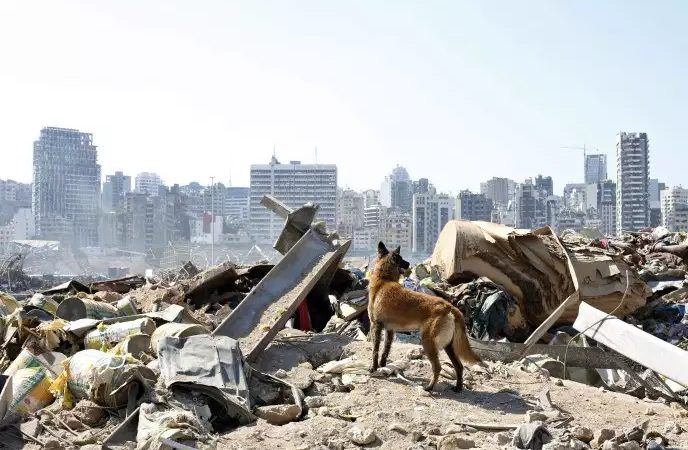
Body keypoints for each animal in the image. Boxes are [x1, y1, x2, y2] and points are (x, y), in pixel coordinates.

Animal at [368, 241, 482, 392]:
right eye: (402, 259)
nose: (409, 263)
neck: (384, 280)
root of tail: (449, 307)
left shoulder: (376, 326)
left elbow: (375, 350)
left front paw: (373, 368)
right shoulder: (390, 330)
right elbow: (386, 350)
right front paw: (382, 365)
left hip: (428, 342)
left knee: (438, 367)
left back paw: (429, 387)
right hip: (448, 346)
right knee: (459, 366)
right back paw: (458, 387)